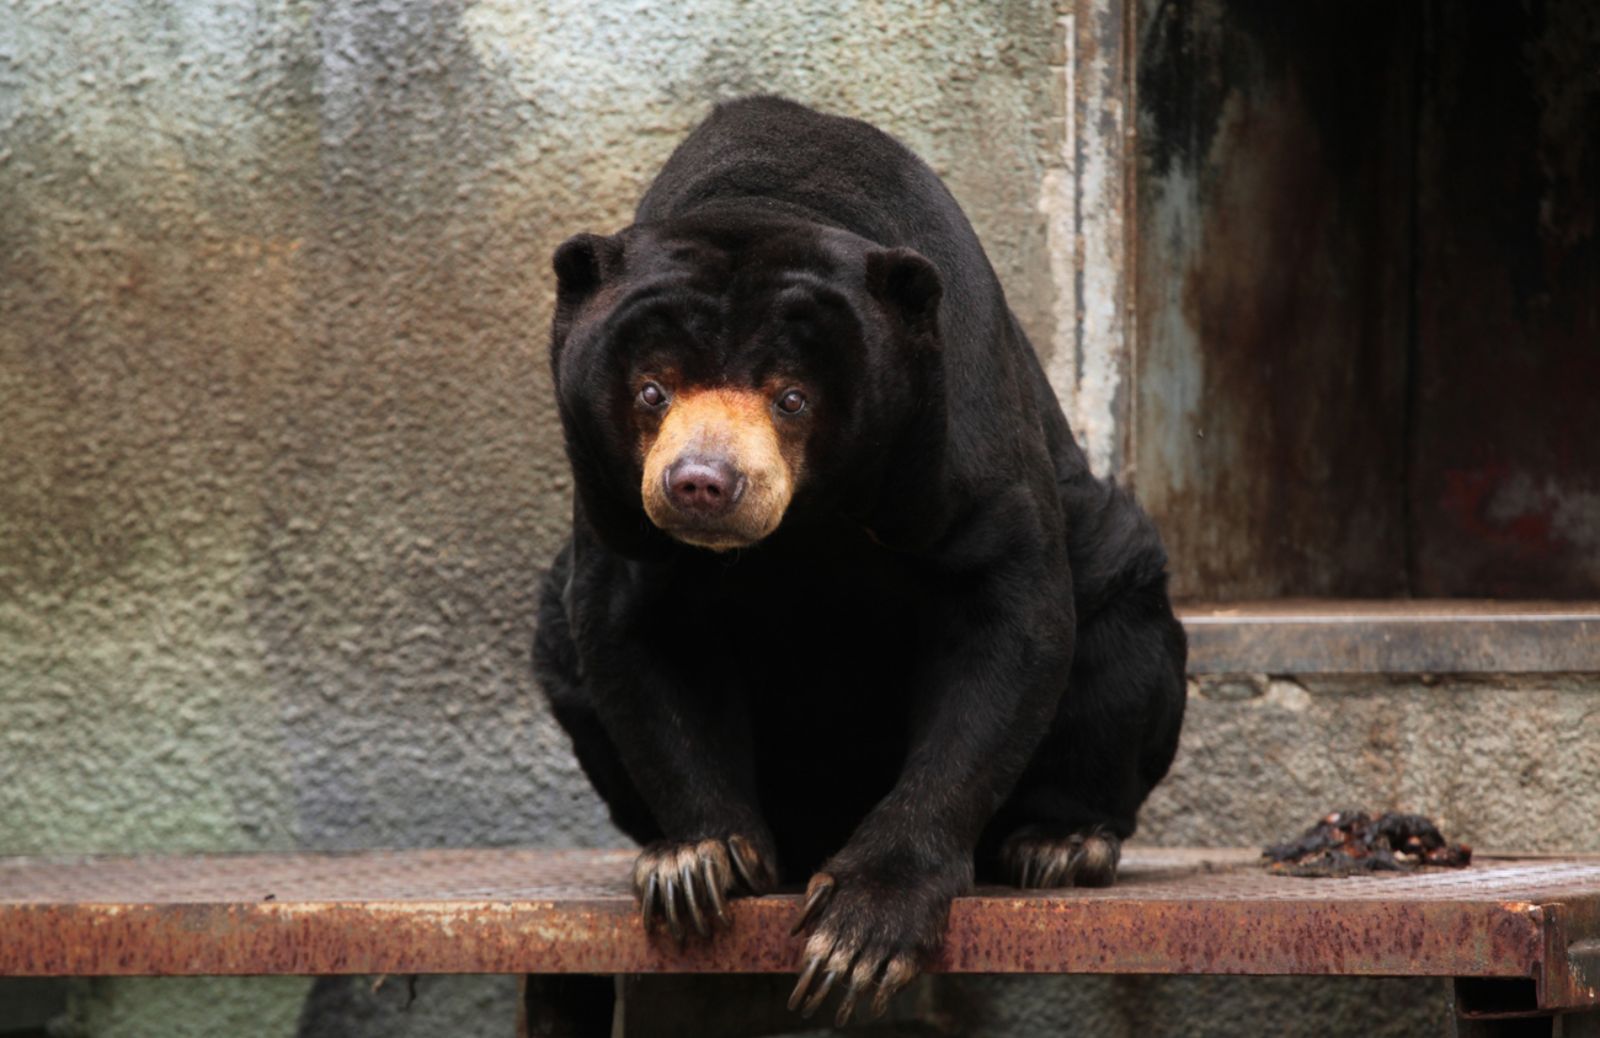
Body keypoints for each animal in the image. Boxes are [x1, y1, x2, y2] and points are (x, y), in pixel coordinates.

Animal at [531, 95, 1184, 1017]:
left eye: (792, 397)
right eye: (652, 390)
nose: (702, 484)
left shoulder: (951, 439)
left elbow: (1004, 624)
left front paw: (859, 937)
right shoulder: (617, 508)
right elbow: (637, 636)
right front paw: (696, 864)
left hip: (1118, 580)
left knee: (1121, 646)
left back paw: (1061, 843)